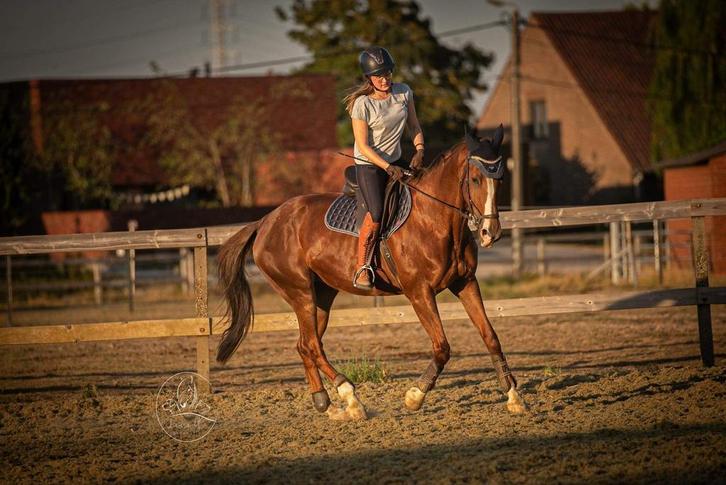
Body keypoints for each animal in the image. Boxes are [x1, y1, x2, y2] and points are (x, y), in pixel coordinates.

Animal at [216, 124, 526, 420]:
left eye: (500, 179)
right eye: (475, 179)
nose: (490, 233)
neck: (434, 220)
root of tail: (266, 221)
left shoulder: (466, 283)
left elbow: (490, 337)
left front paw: (513, 397)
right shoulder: (419, 293)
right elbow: (442, 346)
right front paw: (414, 396)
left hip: (322, 295)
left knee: (305, 345)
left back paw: (327, 405)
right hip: (299, 292)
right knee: (312, 345)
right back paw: (350, 397)